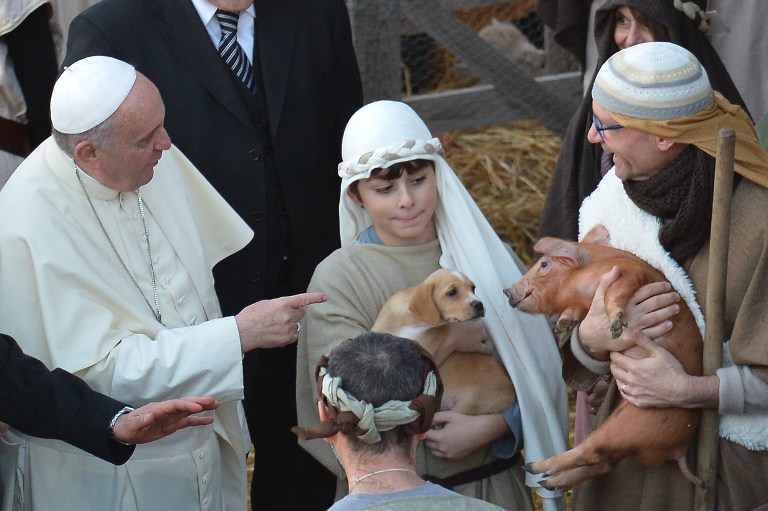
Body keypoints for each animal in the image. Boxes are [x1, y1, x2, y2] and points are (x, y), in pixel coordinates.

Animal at [372, 268, 516, 416]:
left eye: (473, 288)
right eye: (452, 292)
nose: (479, 305)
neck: (413, 323)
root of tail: (511, 390)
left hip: (467, 405)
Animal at [500, 235, 704, 492]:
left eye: (544, 265)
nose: (506, 290)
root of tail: (679, 449)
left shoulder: (629, 273)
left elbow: (615, 293)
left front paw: (616, 326)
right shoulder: (584, 304)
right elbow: (576, 311)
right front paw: (563, 325)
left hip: (633, 425)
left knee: (592, 451)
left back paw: (536, 468)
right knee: (602, 463)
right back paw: (547, 481)